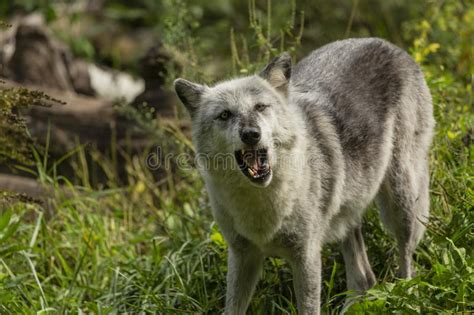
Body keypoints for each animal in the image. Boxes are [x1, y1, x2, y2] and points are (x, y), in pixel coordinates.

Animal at [173, 38, 434, 314]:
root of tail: (386, 44)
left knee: (406, 262)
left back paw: (409, 298)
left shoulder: (306, 256)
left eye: (260, 107)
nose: (251, 134)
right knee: (365, 279)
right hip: (348, 217)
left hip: (401, 201)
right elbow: (232, 308)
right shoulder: (243, 255)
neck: (264, 206)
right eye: (224, 115)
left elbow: (308, 308)